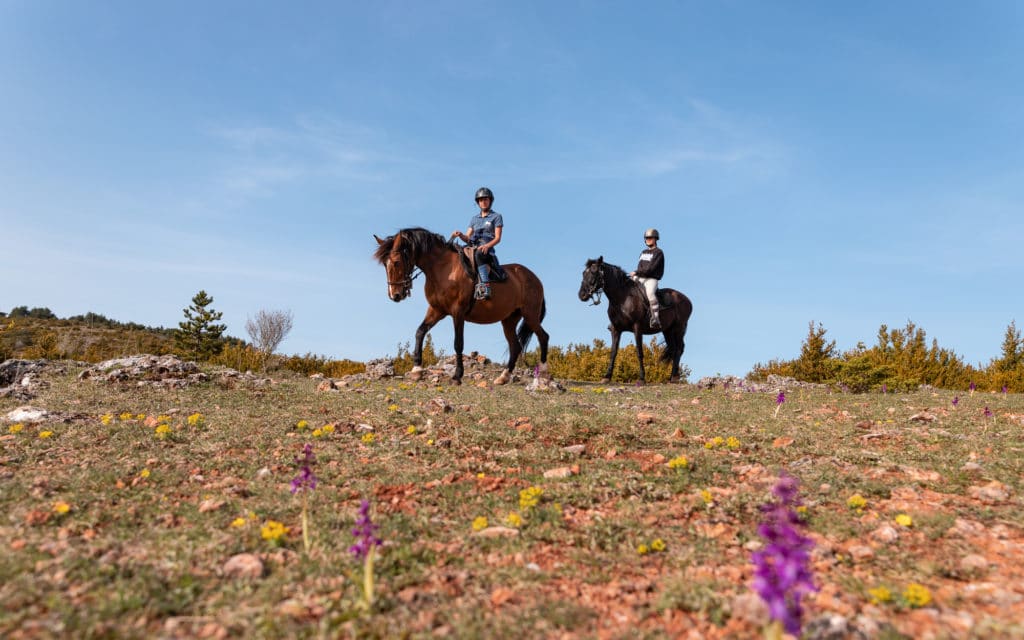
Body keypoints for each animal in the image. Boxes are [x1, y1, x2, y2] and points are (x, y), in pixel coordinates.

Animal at [374, 226, 552, 380]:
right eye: (384, 264)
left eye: (396, 262)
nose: (395, 295)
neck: (443, 269)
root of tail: (535, 278)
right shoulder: (436, 310)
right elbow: (420, 332)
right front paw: (417, 369)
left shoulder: (457, 312)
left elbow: (458, 343)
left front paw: (457, 375)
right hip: (509, 320)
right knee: (515, 346)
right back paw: (503, 377)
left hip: (530, 315)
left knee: (543, 337)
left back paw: (543, 372)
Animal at [577, 256, 696, 385]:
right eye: (583, 273)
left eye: (594, 272)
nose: (582, 295)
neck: (622, 298)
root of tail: (687, 300)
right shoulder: (616, 329)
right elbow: (613, 352)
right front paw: (607, 377)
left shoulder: (637, 328)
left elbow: (639, 352)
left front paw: (641, 378)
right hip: (667, 331)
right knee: (674, 349)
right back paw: (671, 378)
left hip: (679, 328)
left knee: (679, 349)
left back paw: (674, 377)